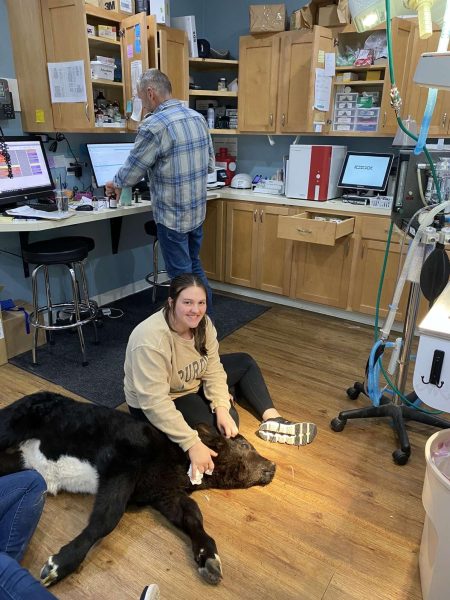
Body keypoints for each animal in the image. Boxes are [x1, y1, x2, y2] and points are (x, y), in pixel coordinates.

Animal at [0, 394, 274, 584]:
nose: (273, 466)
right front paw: (60, 564)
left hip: (15, 461)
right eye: (245, 446)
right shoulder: (121, 464)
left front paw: (209, 558)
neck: (178, 460)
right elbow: (107, 519)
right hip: (12, 425)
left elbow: (194, 517)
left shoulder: (167, 495)